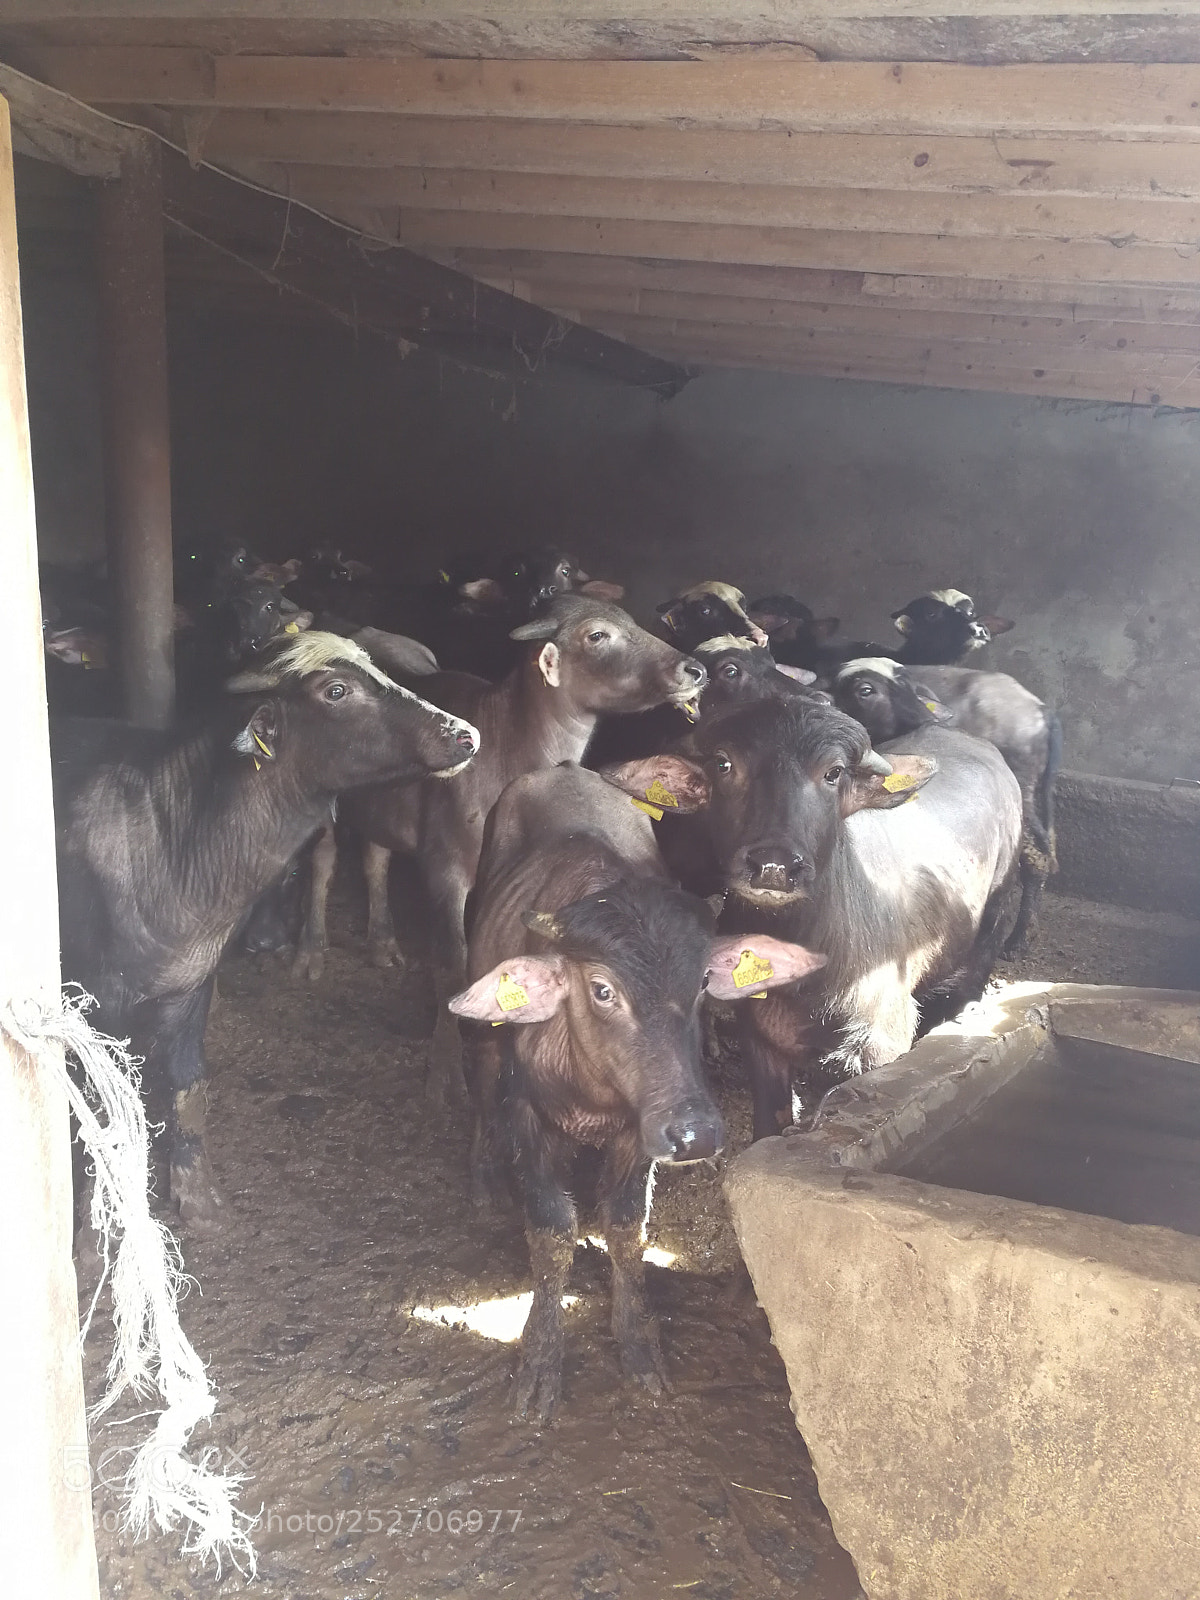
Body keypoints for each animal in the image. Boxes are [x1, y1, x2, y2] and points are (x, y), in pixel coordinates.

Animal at [53, 632, 480, 1226]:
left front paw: (199, 1197)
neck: (172, 839)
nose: (465, 734)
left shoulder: (192, 985)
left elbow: (189, 1083)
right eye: (336, 690)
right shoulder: (93, 1003)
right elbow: (101, 1115)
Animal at [304, 594, 706, 1103]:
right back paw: (312, 952)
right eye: (598, 635)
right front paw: (446, 1070)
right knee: (322, 863)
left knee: (375, 860)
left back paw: (381, 942)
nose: (694, 668)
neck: (508, 749)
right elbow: (451, 966)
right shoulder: (445, 870)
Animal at [450, 758, 820, 1421]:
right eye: (602, 990)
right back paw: (483, 1177)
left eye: (702, 982)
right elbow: (550, 1229)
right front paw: (541, 1358)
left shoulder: (640, 1131)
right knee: (482, 1079)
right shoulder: (526, 1117)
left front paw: (638, 1342)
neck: (592, 1085)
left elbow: (626, 1227)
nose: (697, 1132)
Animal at [833, 657, 1062, 955]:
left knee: (1035, 857)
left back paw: (1018, 940)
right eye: (865, 691)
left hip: (1024, 791)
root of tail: (1040, 709)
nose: (928, 720)